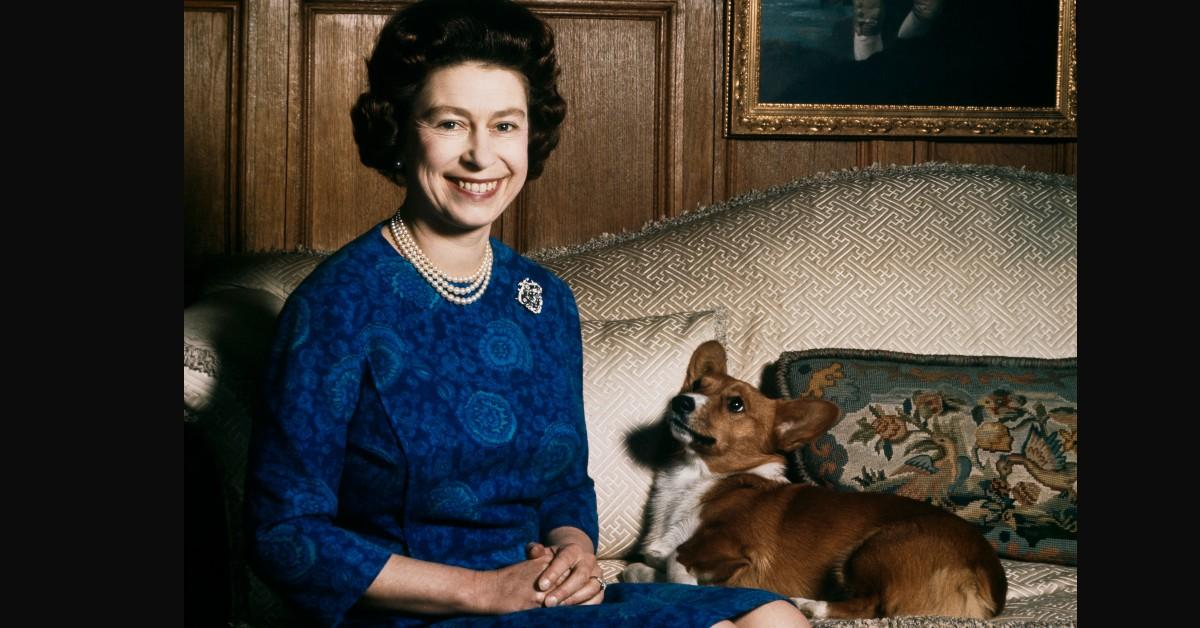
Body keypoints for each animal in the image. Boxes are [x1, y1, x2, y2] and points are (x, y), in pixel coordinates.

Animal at [624, 338, 1008, 619]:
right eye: (698, 384)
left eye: (735, 405)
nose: (681, 401)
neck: (696, 479)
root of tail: (990, 583)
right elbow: (643, 566)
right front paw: (649, 573)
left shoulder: (735, 548)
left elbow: (677, 561)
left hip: (873, 547)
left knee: (873, 606)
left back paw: (810, 605)